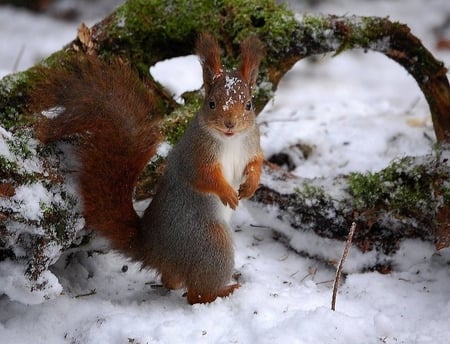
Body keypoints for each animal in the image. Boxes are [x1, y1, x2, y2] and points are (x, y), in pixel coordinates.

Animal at [32, 33, 264, 304]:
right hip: (210, 245)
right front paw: (227, 193)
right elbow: (203, 176)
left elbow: (256, 163)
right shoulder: (195, 154)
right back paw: (224, 291)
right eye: (211, 103)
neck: (231, 141)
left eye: (248, 105)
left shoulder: (252, 145)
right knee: (196, 295)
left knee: (174, 282)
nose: (230, 124)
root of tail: (153, 249)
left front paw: (250, 186)